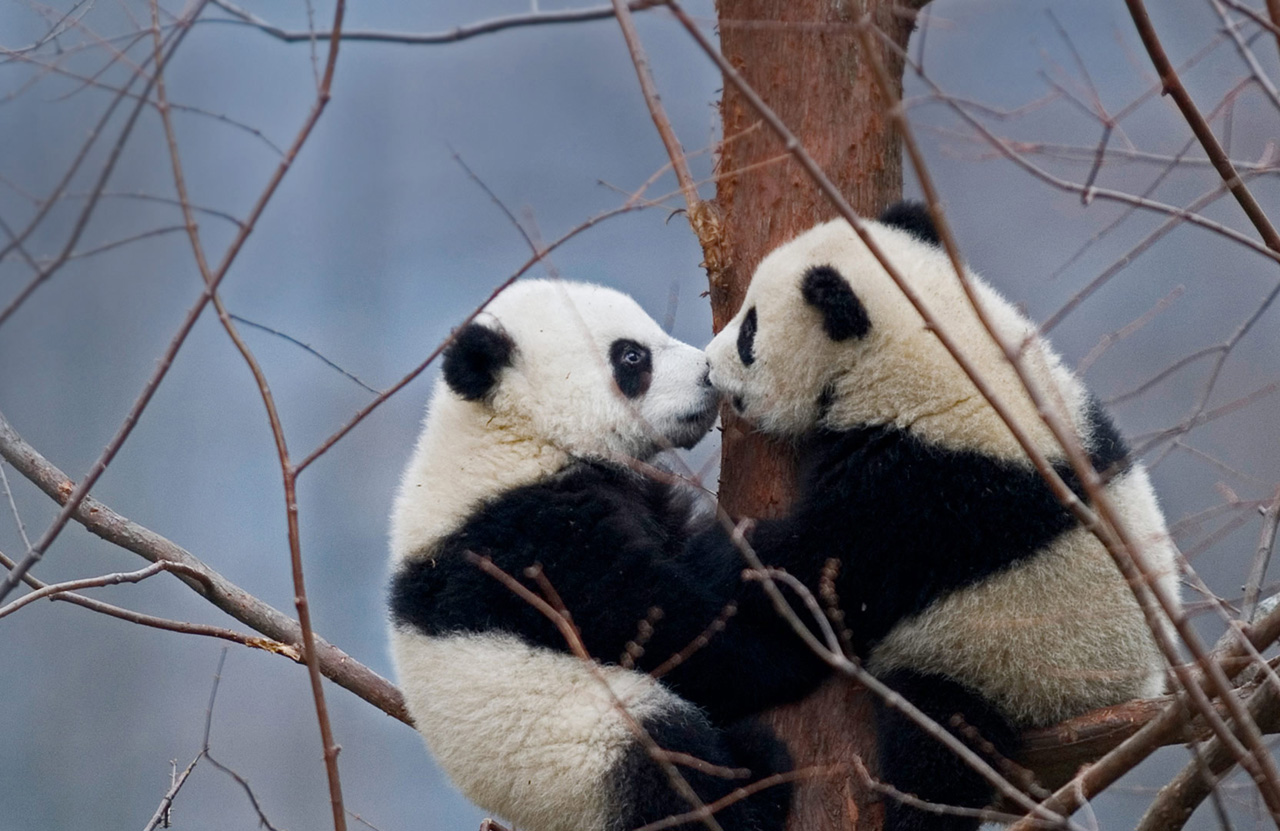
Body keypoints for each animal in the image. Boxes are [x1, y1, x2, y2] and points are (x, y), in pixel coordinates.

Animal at [384, 276, 819, 829]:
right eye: (631, 357)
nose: (708, 375)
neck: (513, 435)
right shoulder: (525, 538)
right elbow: (649, 619)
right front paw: (792, 646)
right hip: (580, 750)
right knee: (667, 763)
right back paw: (755, 781)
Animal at [701, 203, 1177, 829]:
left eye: (750, 331)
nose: (706, 366)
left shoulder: (929, 487)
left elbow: (816, 572)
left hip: (1007, 671)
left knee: (940, 743)